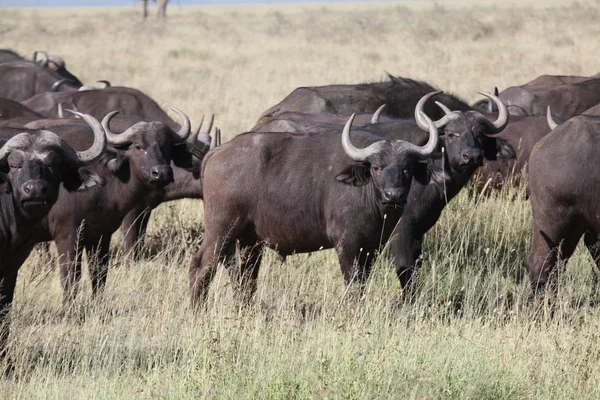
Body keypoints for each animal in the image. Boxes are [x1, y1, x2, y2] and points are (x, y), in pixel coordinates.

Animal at [191, 99, 440, 306]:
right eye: (377, 167)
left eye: (407, 168)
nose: (393, 195)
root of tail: (216, 152)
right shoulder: (347, 245)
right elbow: (353, 285)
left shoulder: (371, 248)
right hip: (221, 230)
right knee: (202, 266)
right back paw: (198, 309)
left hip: (248, 240)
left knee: (244, 275)